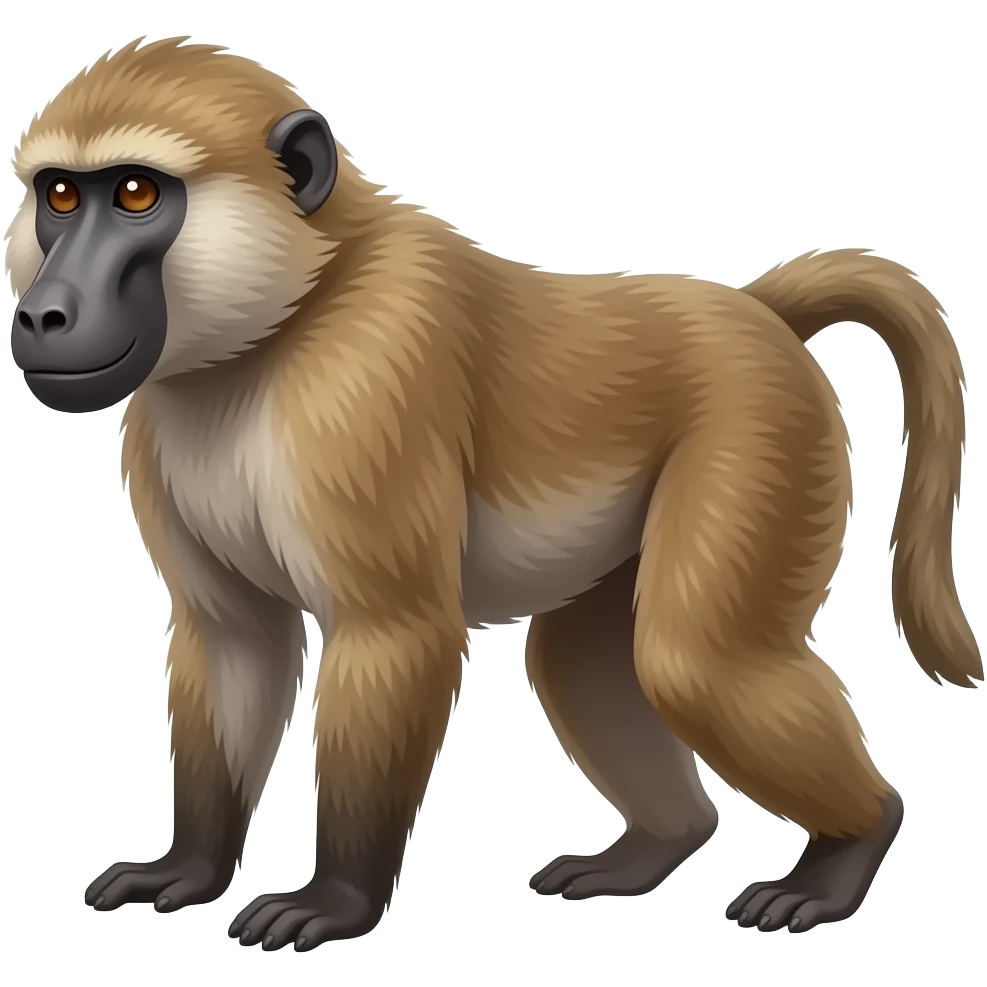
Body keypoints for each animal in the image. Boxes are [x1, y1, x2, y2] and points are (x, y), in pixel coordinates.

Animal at [5, 37, 981, 950]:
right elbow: (234, 637)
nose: (44, 313)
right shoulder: (161, 429)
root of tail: (754, 311)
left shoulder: (364, 390)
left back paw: (848, 849)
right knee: (588, 660)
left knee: (692, 659)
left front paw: (336, 899)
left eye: (136, 194)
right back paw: (655, 847)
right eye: (61, 199)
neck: (284, 318)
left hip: (761, 435)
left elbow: (395, 631)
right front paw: (190, 866)